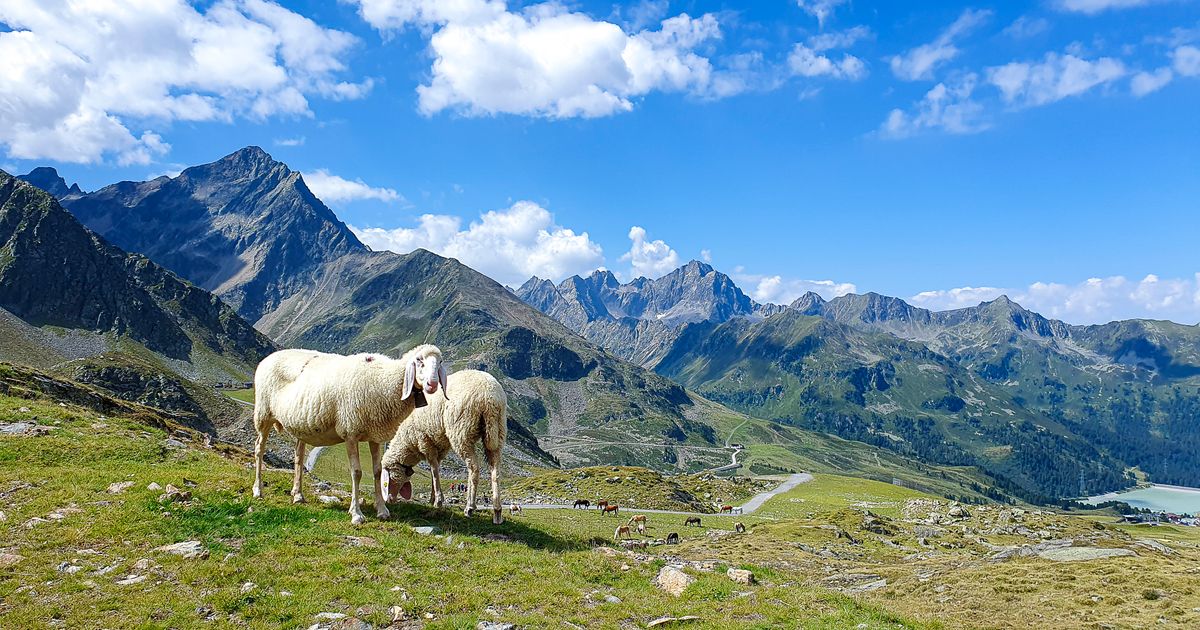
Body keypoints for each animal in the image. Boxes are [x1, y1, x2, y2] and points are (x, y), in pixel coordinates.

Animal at [252, 344, 446, 525]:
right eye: (419, 360)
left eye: (440, 362)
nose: (432, 384)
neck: (385, 380)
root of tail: (268, 358)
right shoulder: (350, 432)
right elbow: (356, 472)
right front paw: (356, 513)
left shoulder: (375, 435)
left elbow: (377, 471)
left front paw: (382, 510)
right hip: (263, 413)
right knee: (259, 449)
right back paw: (258, 490)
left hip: (300, 426)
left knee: (298, 457)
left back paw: (298, 495)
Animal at [381, 369, 508, 525]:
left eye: (387, 481)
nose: (389, 500)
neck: (408, 444)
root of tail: (490, 397)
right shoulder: (440, 446)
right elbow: (434, 469)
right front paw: (432, 498)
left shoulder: (425, 441)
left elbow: (434, 471)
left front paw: (438, 501)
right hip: (498, 431)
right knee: (495, 471)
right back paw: (497, 511)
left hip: (462, 431)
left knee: (473, 468)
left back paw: (470, 507)